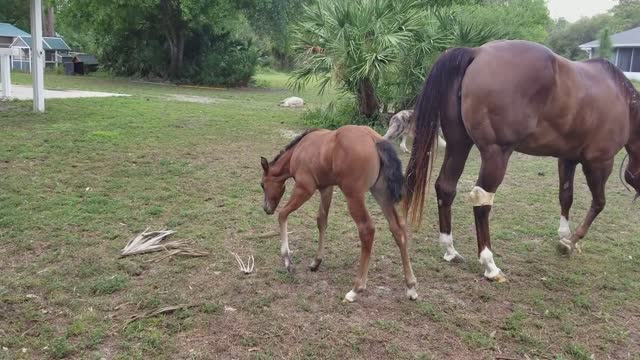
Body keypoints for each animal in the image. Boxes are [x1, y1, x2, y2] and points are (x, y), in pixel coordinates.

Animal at [262, 125, 420, 302]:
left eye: (262, 184)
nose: (266, 208)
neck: (299, 149)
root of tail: (374, 139)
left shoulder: (305, 188)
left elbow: (282, 214)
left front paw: (287, 260)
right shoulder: (326, 188)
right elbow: (321, 221)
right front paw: (316, 262)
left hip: (354, 196)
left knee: (367, 230)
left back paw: (356, 289)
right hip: (381, 192)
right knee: (397, 228)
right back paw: (411, 287)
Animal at [404, 39, 640, 282]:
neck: (622, 100)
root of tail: (477, 52)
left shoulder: (567, 159)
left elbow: (566, 196)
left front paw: (564, 235)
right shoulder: (599, 162)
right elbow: (599, 203)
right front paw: (571, 241)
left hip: (459, 144)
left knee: (446, 187)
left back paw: (450, 250)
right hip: (496, 154)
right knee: (482, 199)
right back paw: (490, 265)